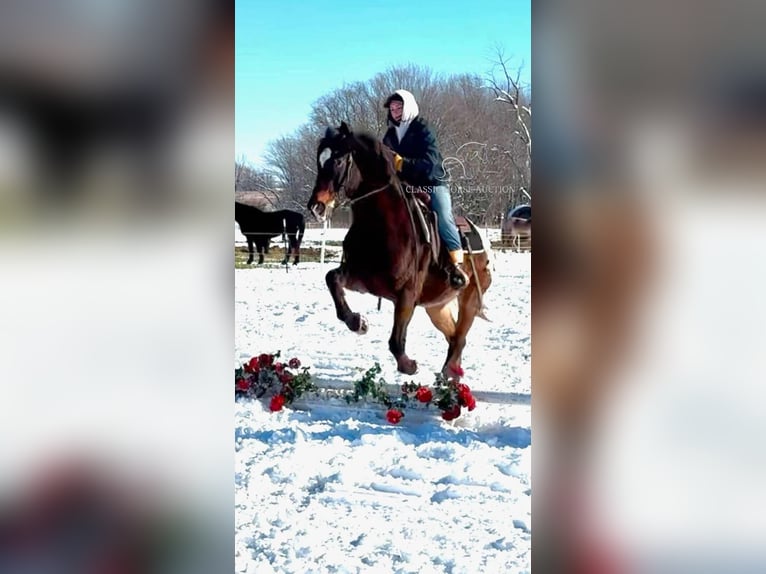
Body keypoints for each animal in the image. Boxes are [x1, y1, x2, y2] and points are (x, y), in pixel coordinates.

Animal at [308, 121, 496, 378]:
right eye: (319, 160)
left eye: (337, 161)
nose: (316, 207)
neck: (380, 225)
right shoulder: (360, 279)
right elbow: (332, 279)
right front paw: (357, 322)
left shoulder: (407, 293)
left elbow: (396, 340)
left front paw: (408, 365)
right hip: (436, 307)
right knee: (453, 336)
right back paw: (451, 372)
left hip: (469, 300)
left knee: (459, 337)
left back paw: (449, 373)